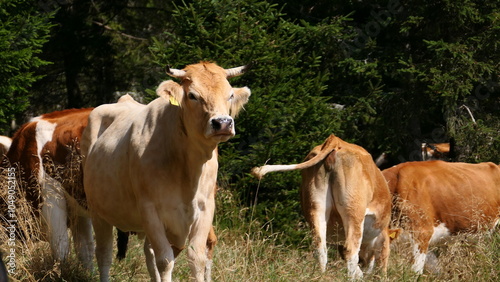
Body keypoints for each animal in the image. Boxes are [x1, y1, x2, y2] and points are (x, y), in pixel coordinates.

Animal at [82, 62, 252, 282]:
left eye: (230, 94)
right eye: (192, 96)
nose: (222, 123)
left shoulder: (205, 208)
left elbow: (196, 258)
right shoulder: (150, 209)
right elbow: (164, 260)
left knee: (148, 254)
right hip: (97, 210)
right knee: (104, 254)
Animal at [252, 135, 392, 280]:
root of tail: (335, 140)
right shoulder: (382, 238)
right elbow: (381, 264)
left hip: (316, 207)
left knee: (320, 248)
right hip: (354, 211)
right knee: (350, 250)